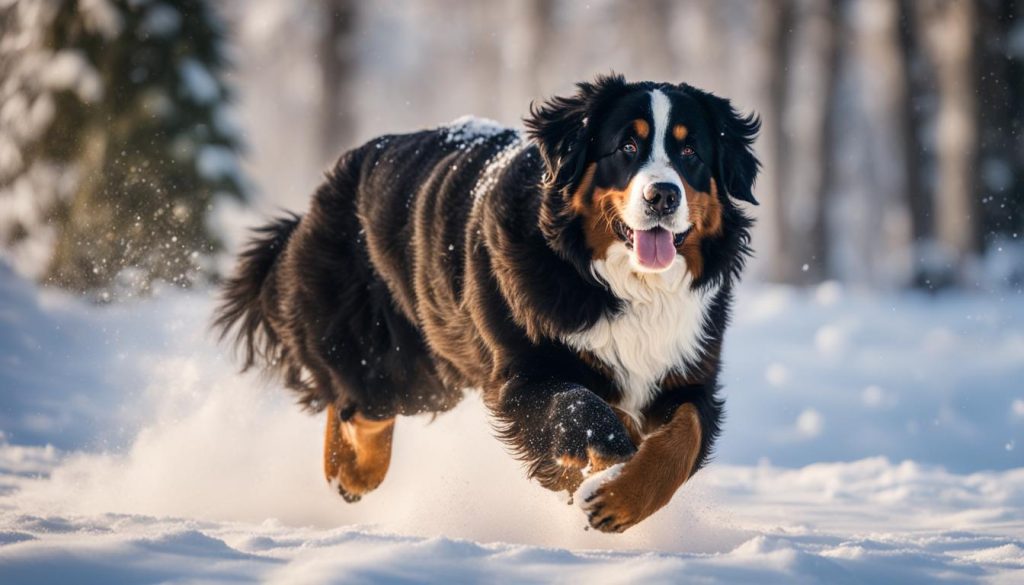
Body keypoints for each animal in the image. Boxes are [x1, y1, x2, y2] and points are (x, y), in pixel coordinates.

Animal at [214, 75, 761, 532]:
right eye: (627, 146)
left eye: (690, 152)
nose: (663, 195)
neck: (622, 287)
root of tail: (328, 187)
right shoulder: (524, 372)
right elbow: (581, 407)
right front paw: (610, 476)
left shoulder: (690, 371)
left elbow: (683, 435)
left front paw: (621, 498)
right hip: (391, 356)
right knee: (358, 402)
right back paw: (349, 474)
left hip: (432, 373)